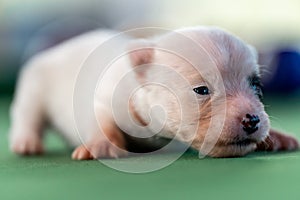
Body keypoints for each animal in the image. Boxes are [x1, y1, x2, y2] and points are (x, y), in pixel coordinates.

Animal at [8, 26, 298, 159]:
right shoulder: (107, 97)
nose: (252, 120)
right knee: (27, 115)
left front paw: (276, 137)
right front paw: (101, 144)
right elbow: (101, 120)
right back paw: (26, 142)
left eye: (256, 85)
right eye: (201, 90)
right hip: (34, 85)